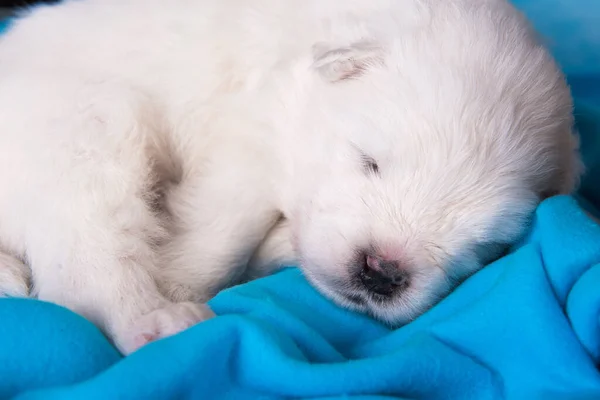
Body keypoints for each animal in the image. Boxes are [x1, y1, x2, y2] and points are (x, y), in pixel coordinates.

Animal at [0, 0, 580, 352]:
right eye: (369, 161)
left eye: (487, 245)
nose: (381, 272)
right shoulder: (253, 130)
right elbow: (222, 230)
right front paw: (179, 279)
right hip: (89, 125)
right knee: (81, 272)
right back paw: (157, 321)